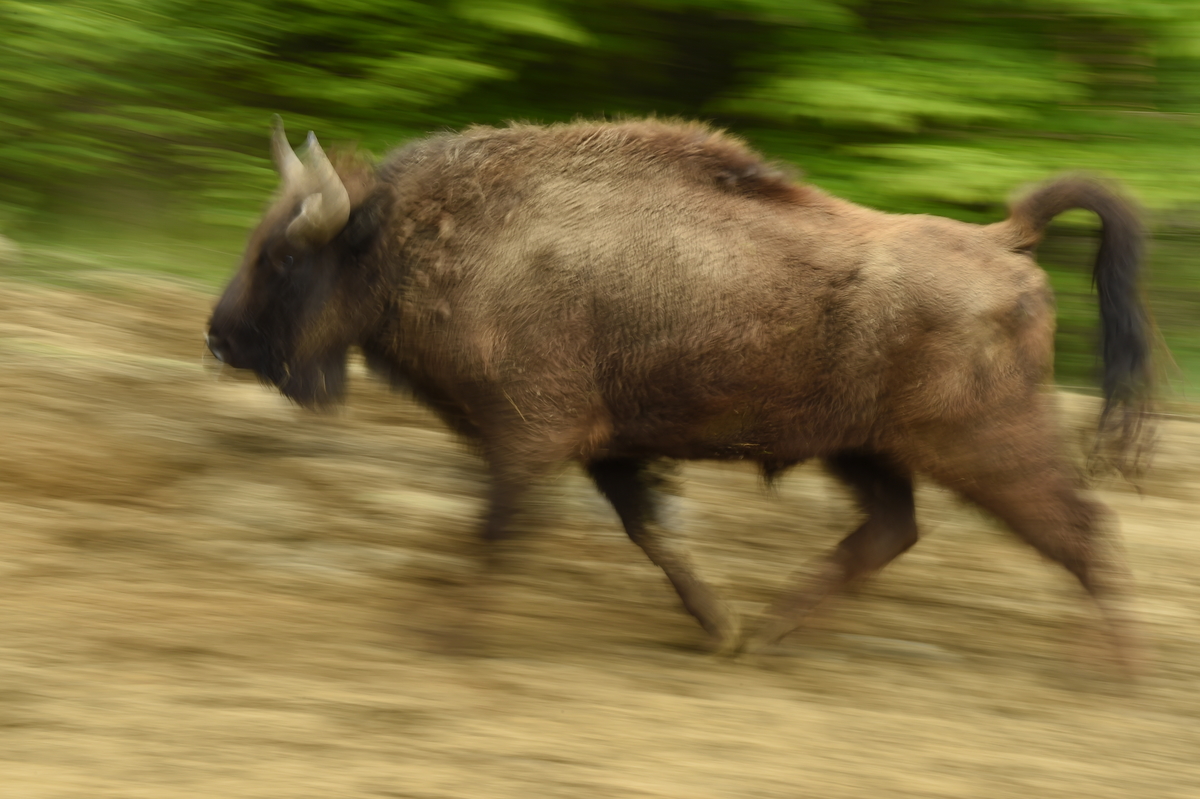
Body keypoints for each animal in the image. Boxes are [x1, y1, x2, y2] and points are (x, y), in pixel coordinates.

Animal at [206, 118, 1152, 667]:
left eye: (282, 255)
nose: (219, 337)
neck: (419, 236)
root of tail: (1004, 243)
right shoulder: (609, 450)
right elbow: (655, 533)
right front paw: (718, 625)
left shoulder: (530, 439)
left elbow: (499, 529)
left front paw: (449, 636)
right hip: (865, 450)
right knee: (896, 529)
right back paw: (767, 633)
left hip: (985, 447)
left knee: (1083, 528)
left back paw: (1107, 674)